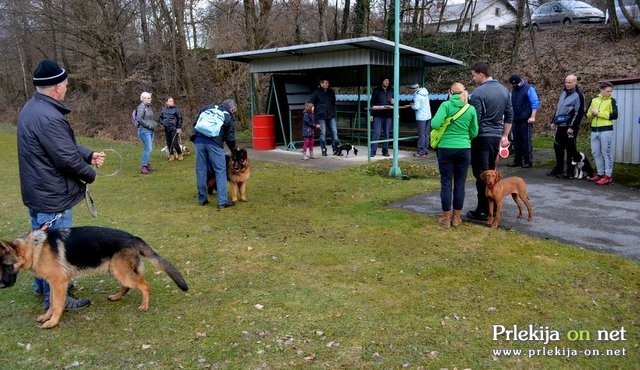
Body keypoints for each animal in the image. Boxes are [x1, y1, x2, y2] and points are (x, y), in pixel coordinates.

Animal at [0, 227, 189, 328]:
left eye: (8, 266)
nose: (1, 286)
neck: (34, 248)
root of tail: (133, 237)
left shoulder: (59, 283)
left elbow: (57, 304)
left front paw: (52, 322)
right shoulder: (53, 284)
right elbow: (52, 302)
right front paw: (47, 316)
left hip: (121, 272)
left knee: (144, 285)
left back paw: (144, 305)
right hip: (116, 270)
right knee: (128, 286)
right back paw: (116, 297)